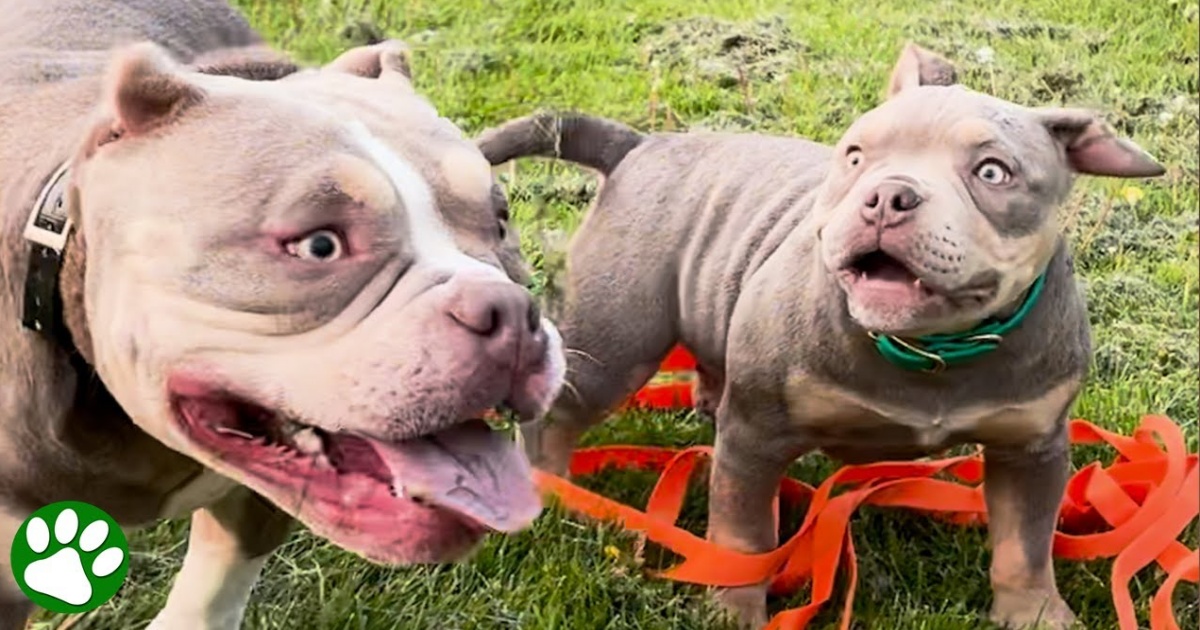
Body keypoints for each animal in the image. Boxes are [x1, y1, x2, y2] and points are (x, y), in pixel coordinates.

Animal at [475, 41, 1161, 624]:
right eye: (856, 155)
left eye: (994, 173)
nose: (887, 196)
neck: (929, 348)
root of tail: (639, 146)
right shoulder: (755, 436)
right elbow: (743, 537)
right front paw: (734, 612)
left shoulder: (1032, 446)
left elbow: (1025, 543)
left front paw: (1036, 614)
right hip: (614, 341)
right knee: (557, 418)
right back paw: (554, 497)